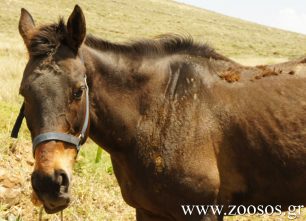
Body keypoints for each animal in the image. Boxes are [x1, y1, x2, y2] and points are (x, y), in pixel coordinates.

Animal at [12, 4, 306, 220]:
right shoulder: (147, 211)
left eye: (78, 91)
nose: (49, 184)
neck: (159, 110)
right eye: (25, 94)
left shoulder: (203, 212)